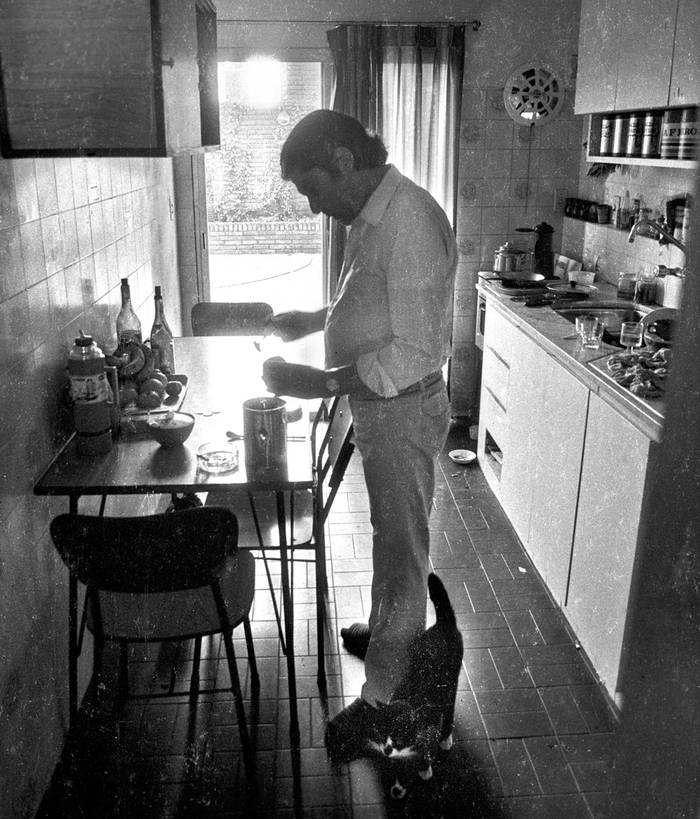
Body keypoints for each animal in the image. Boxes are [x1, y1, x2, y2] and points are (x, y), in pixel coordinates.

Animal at [366, 572, 464, 796]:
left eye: (400, 736)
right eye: (383, 731)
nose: (387, 749)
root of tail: (444, 623)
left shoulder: (425, 732)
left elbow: (424, 750)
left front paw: (424, 770)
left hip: (452, 684)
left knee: (450, 709)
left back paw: (446, 738)